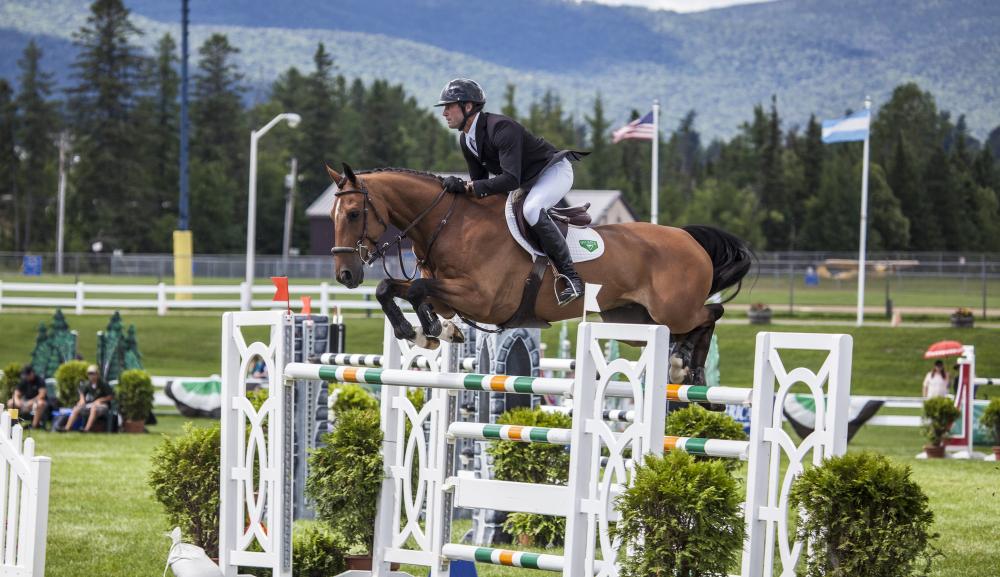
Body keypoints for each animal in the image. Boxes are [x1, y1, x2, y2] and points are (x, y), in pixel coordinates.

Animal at [326, 164, 752, 384]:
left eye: (354, 213)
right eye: (332, 216)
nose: (345, 274)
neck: (449, 223)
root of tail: (687, 238)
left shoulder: (483, 299)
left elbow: (414, 289)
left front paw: (427, 331)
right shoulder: (450, 294)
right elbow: (391, 287)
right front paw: (428, 332)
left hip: (672, 310)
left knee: (710, 314)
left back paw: (690, 367)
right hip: (633, 320)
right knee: (681, 330)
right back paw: (680, 362)